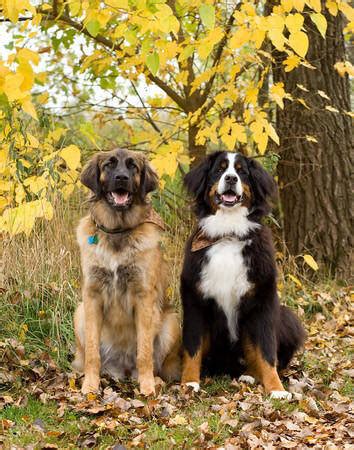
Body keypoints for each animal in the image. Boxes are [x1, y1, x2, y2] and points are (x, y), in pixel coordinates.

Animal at [73, 147, 181, 394]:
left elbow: (145, 352)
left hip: (172, 322)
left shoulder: (144, 297)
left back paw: (155, 380)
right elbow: (92, 352)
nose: (121, 178)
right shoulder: (92, 296)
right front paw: (90, 386)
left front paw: (147, 387)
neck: (117, 231)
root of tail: (121, 370)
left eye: (133, 166)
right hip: (79, 313)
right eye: (109, 165)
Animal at [181, 153, 306, 400]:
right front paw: (189, 383)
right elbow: (192, 347)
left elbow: (266, 352)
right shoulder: (195, 302)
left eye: (242, 172)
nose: (231, 178)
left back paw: (250, 374)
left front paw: (276, 389)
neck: (228, 234)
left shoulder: (262, 302)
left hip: (287, 317)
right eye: (219, 170)